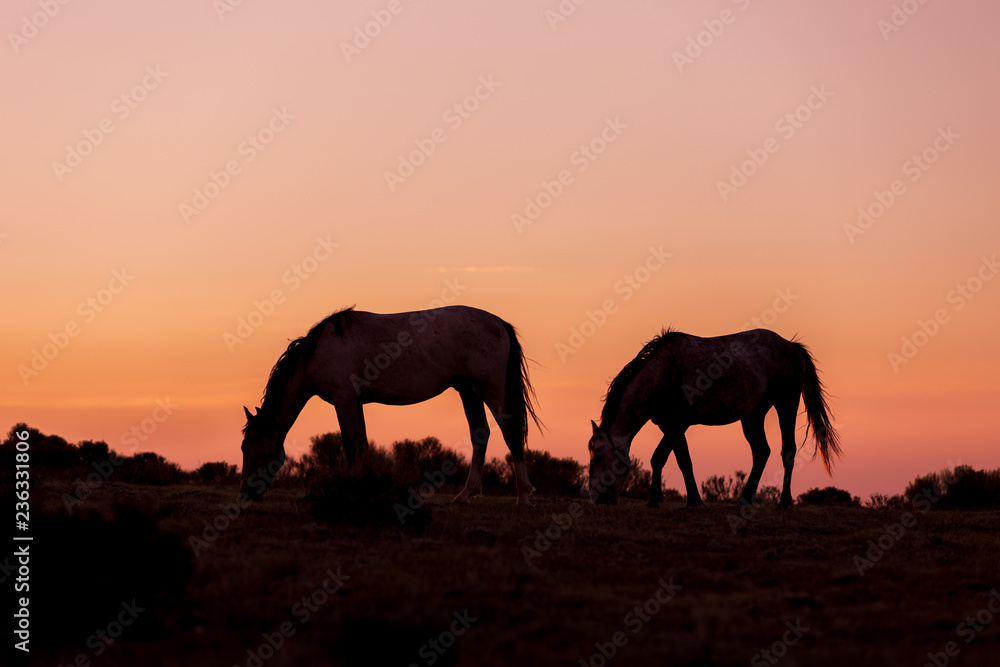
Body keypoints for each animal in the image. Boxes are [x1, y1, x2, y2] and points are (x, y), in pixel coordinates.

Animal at [239, 305, 542, 505]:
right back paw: (465, 495)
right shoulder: (356, 402)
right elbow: (362, 445)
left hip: (490, 388)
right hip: (468, 390)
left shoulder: (343, 399)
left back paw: (523, 496)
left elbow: (350, 445)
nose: (245, 494)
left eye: (247, 447)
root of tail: (500, 323)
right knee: (480, 434)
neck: (319, 352)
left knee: (511, 432)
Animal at [587, 328, 841, 508]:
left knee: (787, 450)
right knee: (761, 452)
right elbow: (665, 459)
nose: (597, 498)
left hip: (786, 404)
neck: (662, 374)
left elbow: (676, 460)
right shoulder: (669, 427)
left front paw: (687, 500)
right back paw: (745, 498)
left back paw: (784, 502)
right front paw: (661, 500)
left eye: (597, 456)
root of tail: (791, 346)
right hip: (753, 416)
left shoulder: (678, 425)